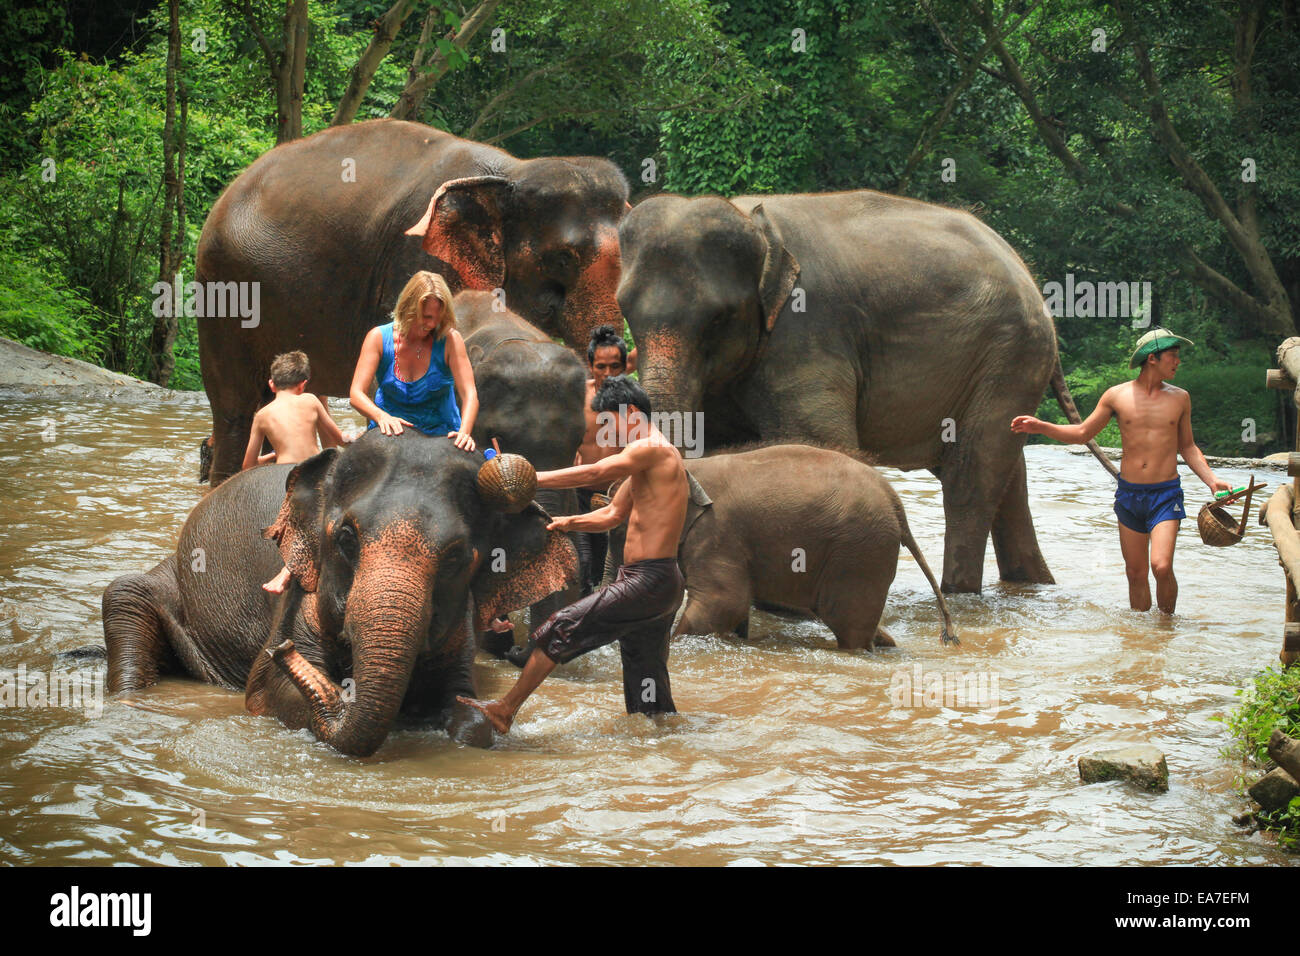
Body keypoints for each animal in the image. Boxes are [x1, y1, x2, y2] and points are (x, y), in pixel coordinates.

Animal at [104, 431, 582, 754]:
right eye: (347, 538)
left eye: (457, 556)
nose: (283, 650)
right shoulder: (299, 594)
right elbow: (267, 689)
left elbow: (468, 708)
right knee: (124, 596)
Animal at [618, 191, 1118, 595]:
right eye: (625, 310)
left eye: (719, 318)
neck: (752, 220)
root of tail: (1027, 274)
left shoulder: (806, 334)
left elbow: (820, 444)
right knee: (1008, 477)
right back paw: (1031, 586)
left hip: (1009, 353)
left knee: (970, 478)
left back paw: (960, 594)